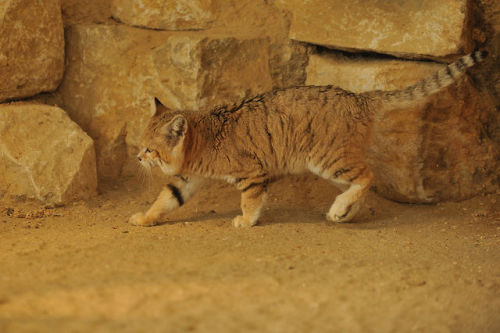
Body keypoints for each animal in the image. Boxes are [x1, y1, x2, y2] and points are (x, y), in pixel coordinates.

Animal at [129, 50, 488, 227]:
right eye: (141, 146)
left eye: (150, 149)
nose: (137, 158)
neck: (202, 136)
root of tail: (360, 98)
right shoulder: (187, 179)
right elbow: (165, 200)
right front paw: (145, 218)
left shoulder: (252, 173)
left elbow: (251, 200)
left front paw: (246, 221)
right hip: (332, 162)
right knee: (358, 187)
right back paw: (343, 212)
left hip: (326, 158)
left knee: (367, 176)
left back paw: (341, 208)